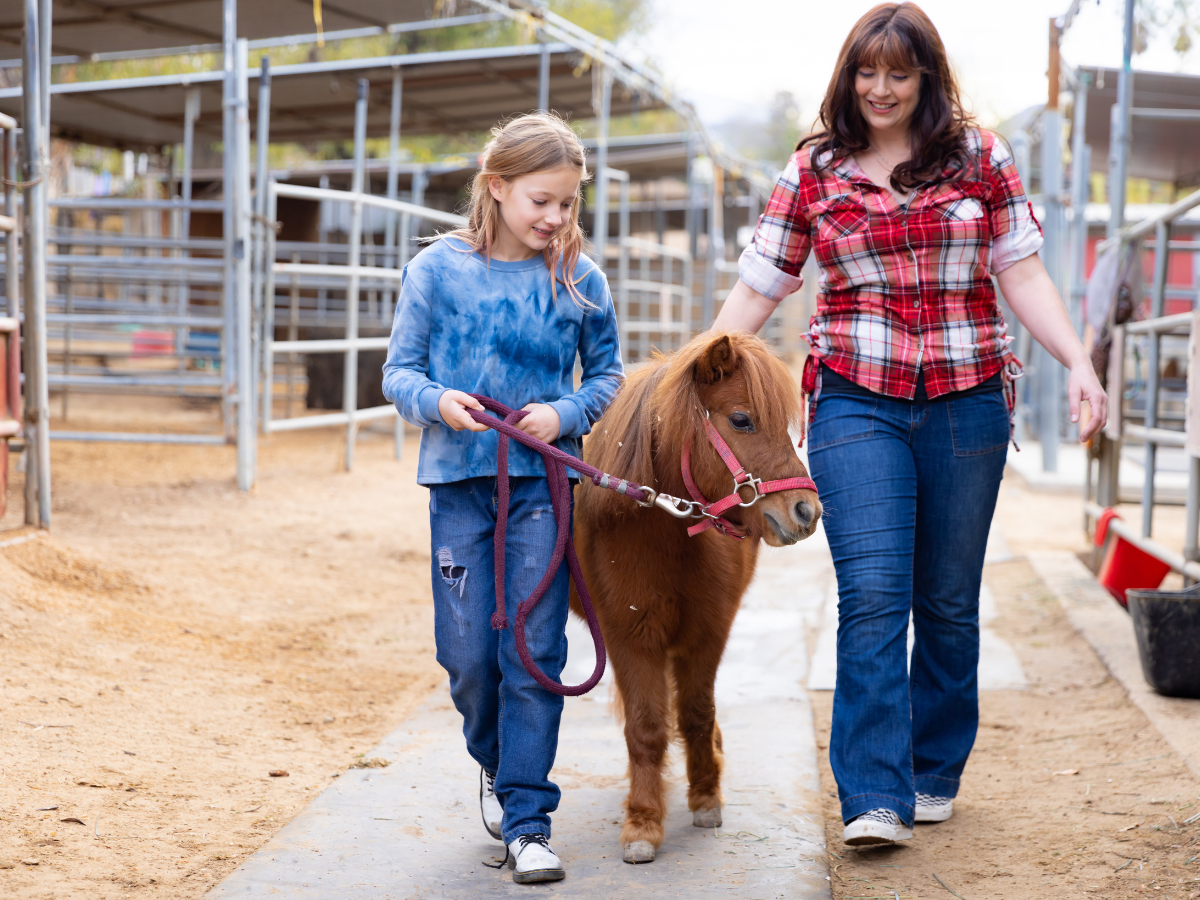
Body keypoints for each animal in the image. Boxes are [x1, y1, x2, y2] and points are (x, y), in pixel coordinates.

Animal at [573, 331, 825, 868]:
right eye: (742, 420)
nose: (807, 511)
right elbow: (646, 727)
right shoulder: (628, 639)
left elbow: (696, 713)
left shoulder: (708, 632)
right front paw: (643, 822)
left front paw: (706, 796)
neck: (664, 535)